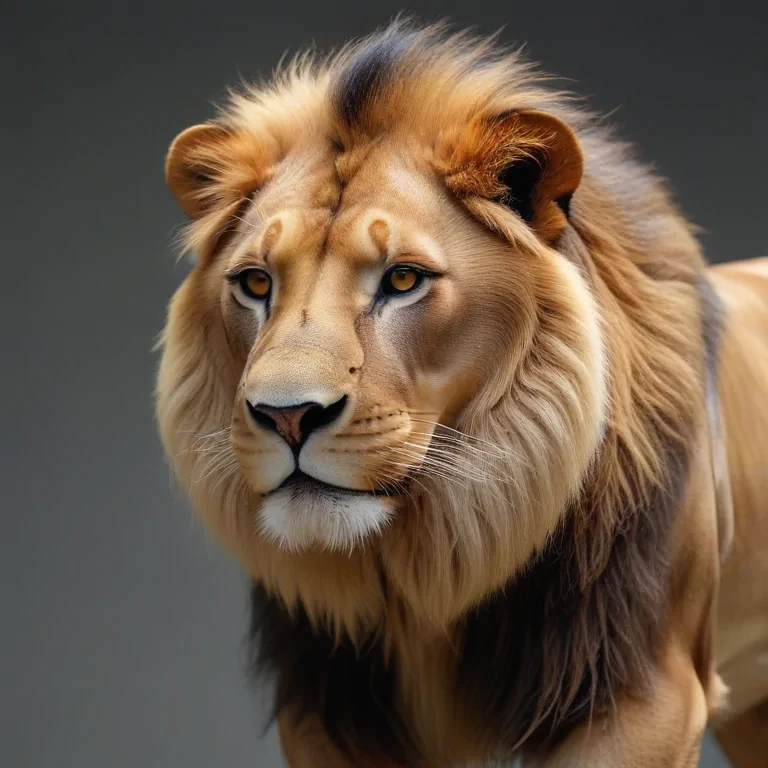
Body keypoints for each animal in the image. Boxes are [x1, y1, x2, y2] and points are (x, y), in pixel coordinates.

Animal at [155, 21, 768, 768]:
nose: (288, 415)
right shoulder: (328, 707)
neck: (438, 564)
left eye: (403, 279)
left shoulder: (645, 693)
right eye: (255, 283)